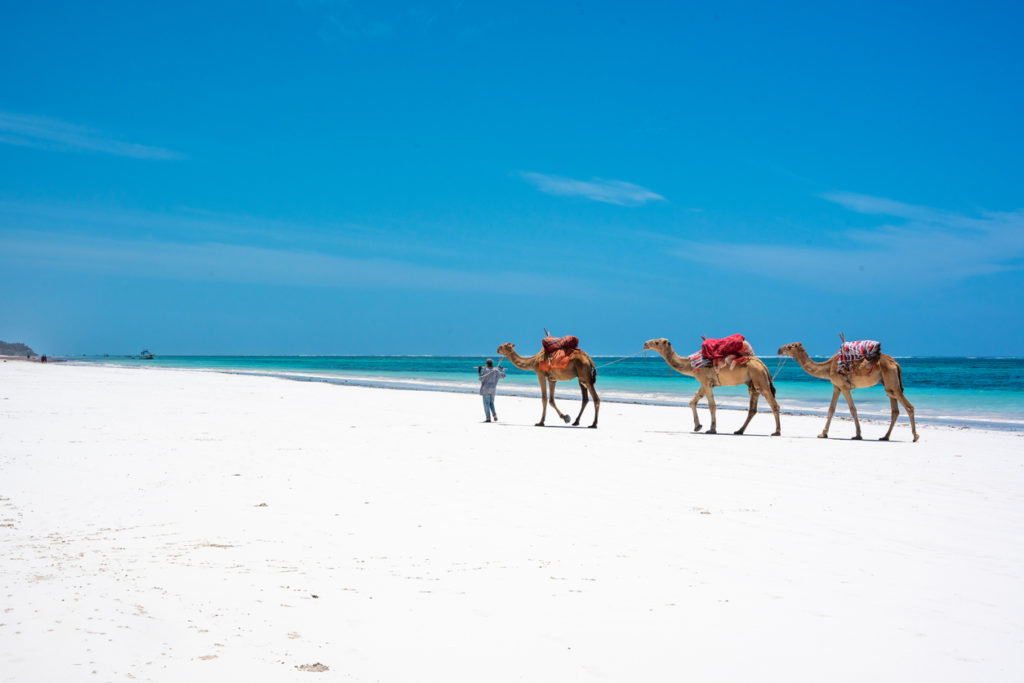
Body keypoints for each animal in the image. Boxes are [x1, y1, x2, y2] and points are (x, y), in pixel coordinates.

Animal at [643, 339, 778, 436]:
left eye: (657, 342)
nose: (645, 344)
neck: (691, 365)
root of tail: (763, 365)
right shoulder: (706, 382)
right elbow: (692, 401)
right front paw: (698, 426)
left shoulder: (706, 381)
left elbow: (711, 405)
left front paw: (711, 429)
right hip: (753, 384)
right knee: (752, 409)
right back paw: (739, 431)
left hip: (760, 378)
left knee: (774, 405)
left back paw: (777, 432)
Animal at [774, 342, 921, 444]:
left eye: (790, 346)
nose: (779, 349)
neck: (828, 367)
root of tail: (895, 363)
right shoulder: (836, 387)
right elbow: (831, 409)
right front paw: (823, 434)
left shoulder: (844, 387)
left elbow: (852, 409)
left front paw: (858, 435)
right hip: (888, 384)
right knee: (894, 410)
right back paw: (885, 437)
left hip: (892, 383)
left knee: (909, 407)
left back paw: (915, 436)